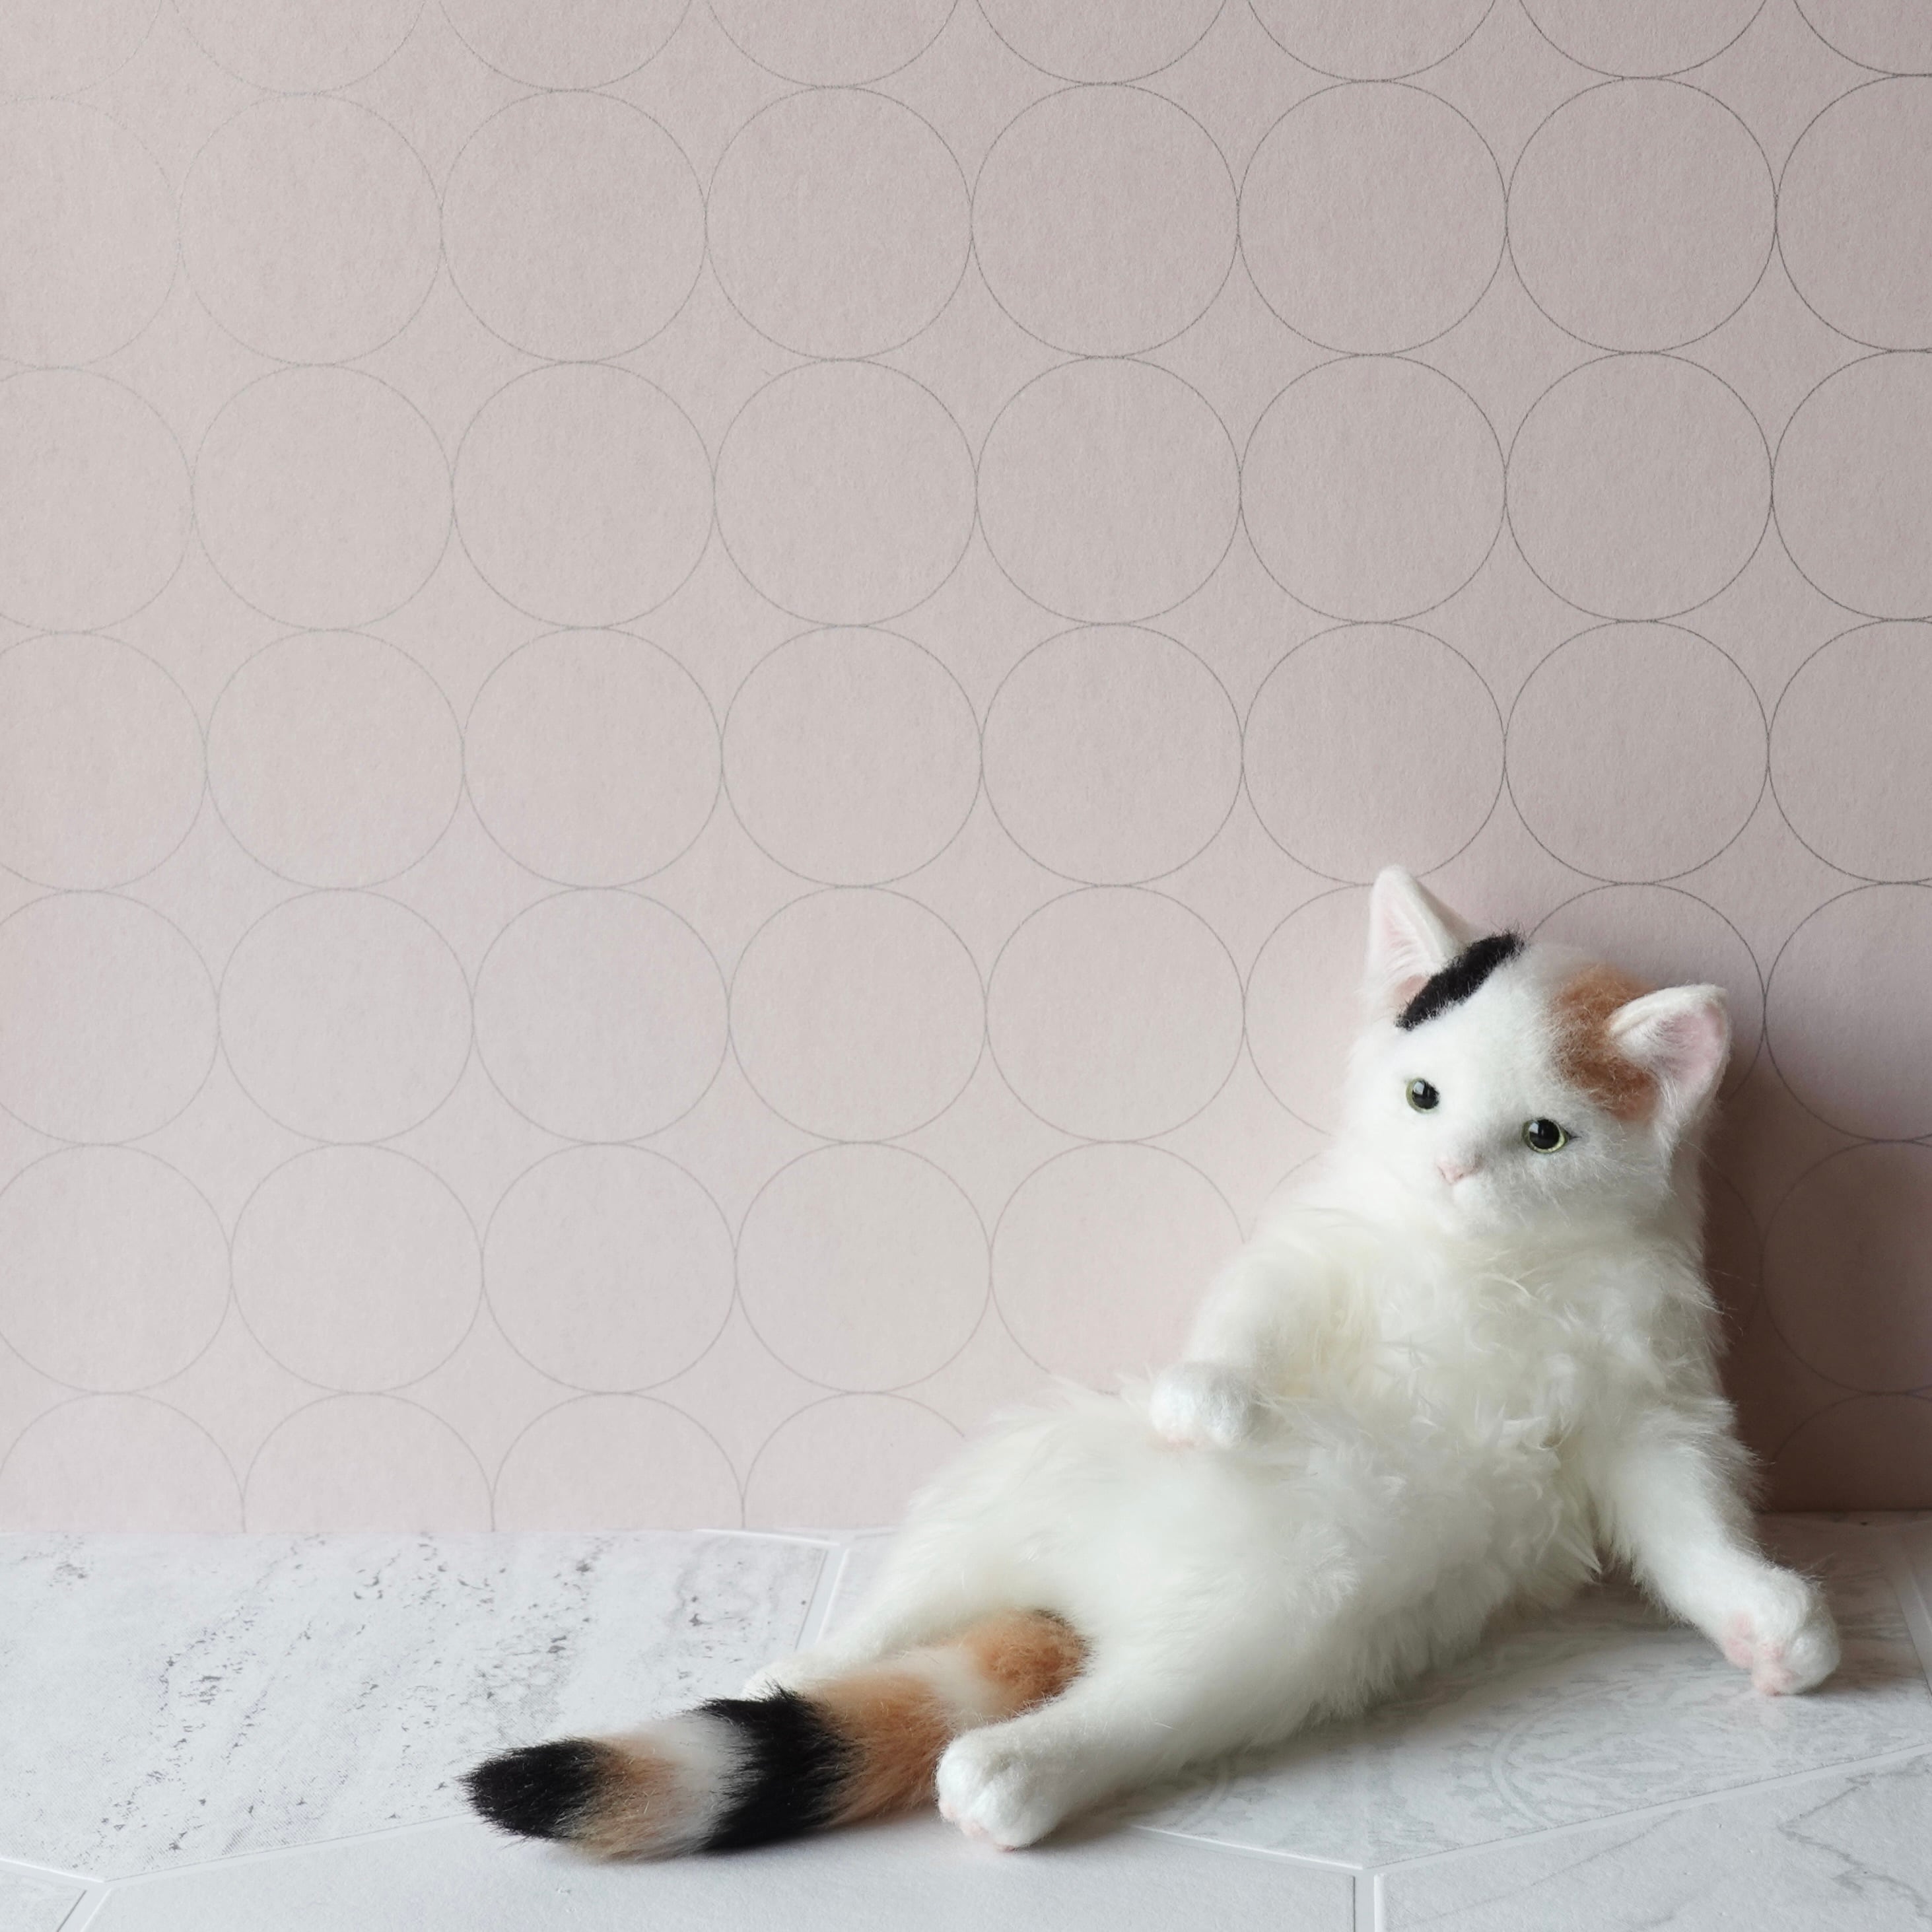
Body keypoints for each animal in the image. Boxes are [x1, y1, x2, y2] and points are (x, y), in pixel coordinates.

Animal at [465, 867, 1839, 1857]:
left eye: (1544, 1136)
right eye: (1423, 1098)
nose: (1453, 1168)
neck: (1483, 1269)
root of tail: (1077, 1608)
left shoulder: (1645, 1403)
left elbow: (1686, 1523)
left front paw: (1769, 1621)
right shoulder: (1314, 1247)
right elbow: (1250, 1305)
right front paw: (1210, 1393)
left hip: (1267, 1633)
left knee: (1129, 1708)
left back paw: (1015, 1767)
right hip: (1020, 1467)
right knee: (912, 1596)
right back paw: (815, 1659)